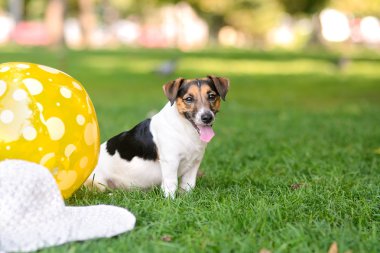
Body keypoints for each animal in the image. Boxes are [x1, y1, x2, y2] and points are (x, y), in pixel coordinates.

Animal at [85, 75, 229, 198]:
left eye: (211, 96)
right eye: (189, 99)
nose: (207, 117)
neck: (185, 129)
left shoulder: (194, 163)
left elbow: (188, 186)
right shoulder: (170, 162)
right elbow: (171, 184)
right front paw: (171, 203)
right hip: (97, 183)